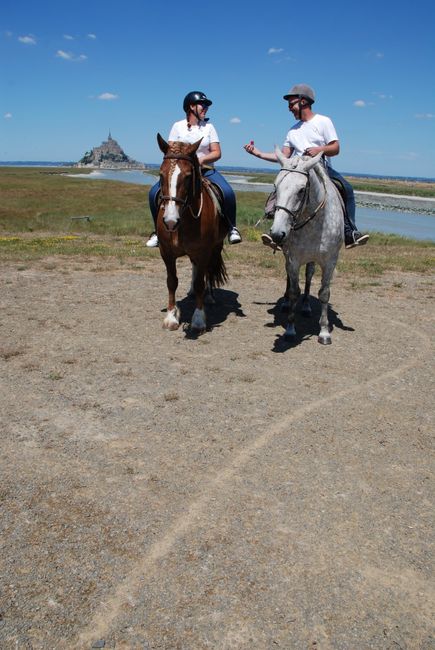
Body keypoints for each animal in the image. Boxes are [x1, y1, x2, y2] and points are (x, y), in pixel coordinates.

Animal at [156, 134, 228, 332]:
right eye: (161, 174)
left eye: (188, 176)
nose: (170, 221)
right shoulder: (166, 252)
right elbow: (172, 281)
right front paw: (171, 316)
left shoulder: (204, 251)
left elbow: (200, 283)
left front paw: (198, 319)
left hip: (215, 247)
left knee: (208, 272)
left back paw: (208, 296)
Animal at [270, 152, 344, 344]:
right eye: (276, 186)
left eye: (301, 190)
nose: (277, 234)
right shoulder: (293, 259)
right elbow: (294, 291)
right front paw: (290, 329)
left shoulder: (330, 261)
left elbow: (324, 293)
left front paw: (324, 332)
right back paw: (287, 303)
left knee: (309, 276)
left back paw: (306, 307)